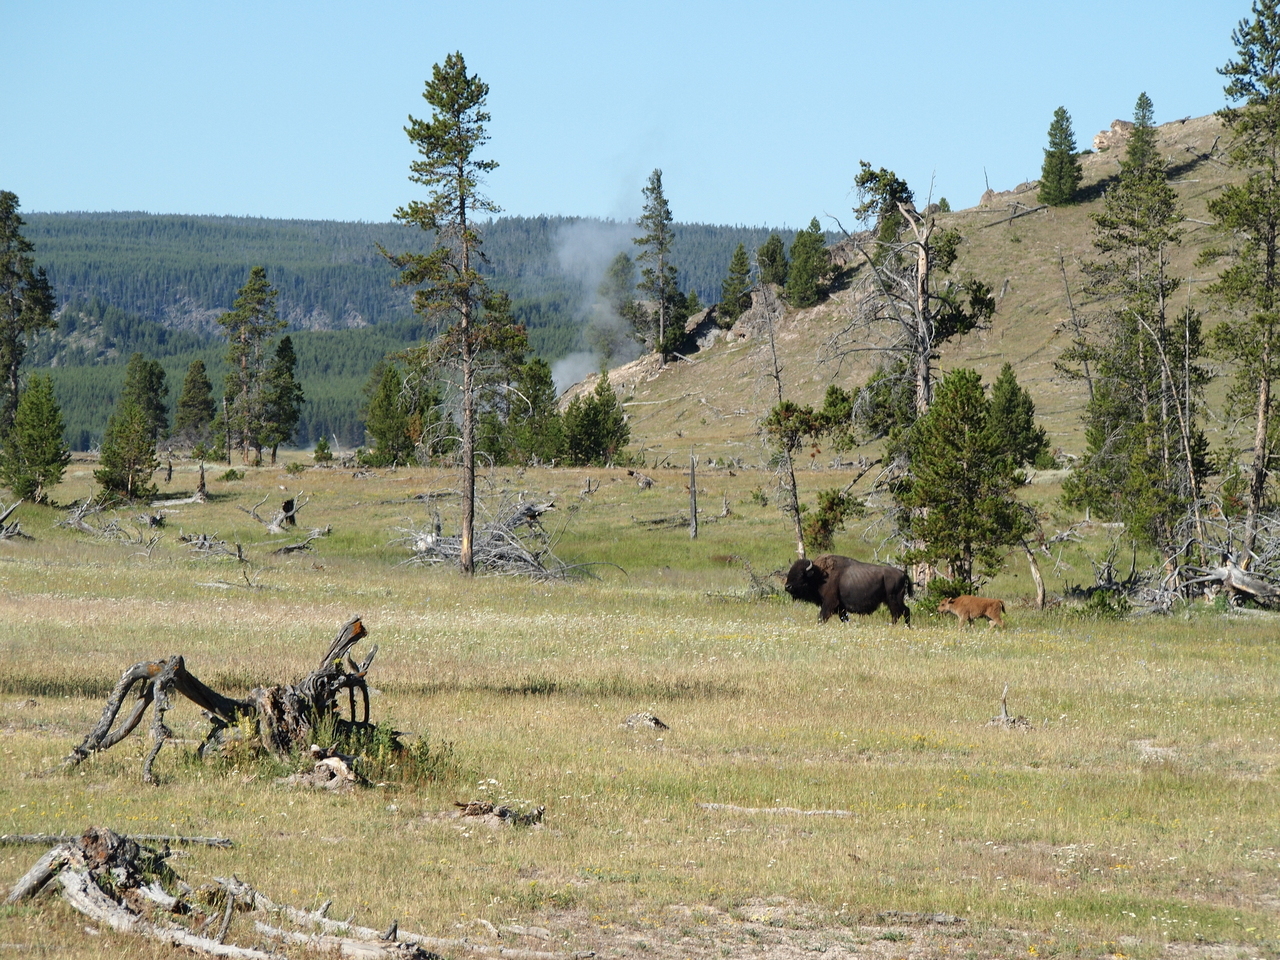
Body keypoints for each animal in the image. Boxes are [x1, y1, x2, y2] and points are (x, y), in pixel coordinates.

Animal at [783, 554, 913, 626]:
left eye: (801, 574)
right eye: (790, 571)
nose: (787, 587)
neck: (819, 575)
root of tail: (903, 573)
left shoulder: (830, 603)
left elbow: (822, 617)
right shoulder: (841, 607)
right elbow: (844, 618)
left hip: (893, 599)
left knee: (898, 613)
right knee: (905, 611)